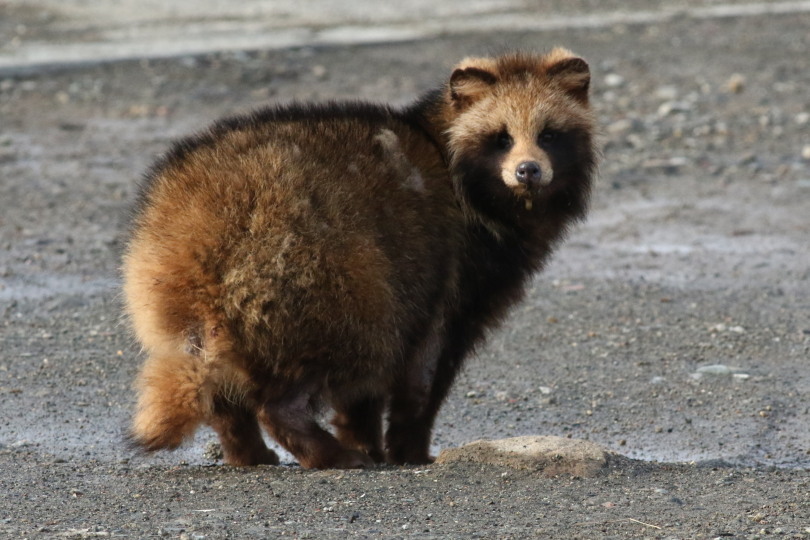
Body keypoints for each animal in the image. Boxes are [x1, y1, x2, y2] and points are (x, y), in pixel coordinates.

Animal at [124, 48, 592, 466]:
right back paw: (318, 445)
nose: (528, 170)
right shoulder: (452, 268)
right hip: (317, 271)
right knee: (363, 341)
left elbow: (363, 396)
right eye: (502, 138)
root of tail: (189, 238)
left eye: (549, 134)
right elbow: (423, 373)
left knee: (222, 386)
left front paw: (366, 436)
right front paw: (408, 448)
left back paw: (247, 448)